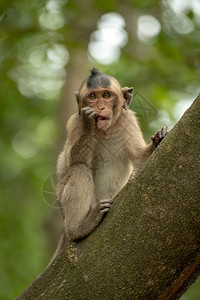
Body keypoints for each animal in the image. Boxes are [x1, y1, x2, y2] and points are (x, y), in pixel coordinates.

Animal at [55, 68, 169, 248]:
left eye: (107, 95)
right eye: (92, 97)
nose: (100, 107)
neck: (105, 130)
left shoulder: (128, 120)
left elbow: (140, 159)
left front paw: (159, 137)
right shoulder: (74, 123)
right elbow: (74, 161)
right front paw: (89, 123)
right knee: (79, 169)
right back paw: (78, 228)